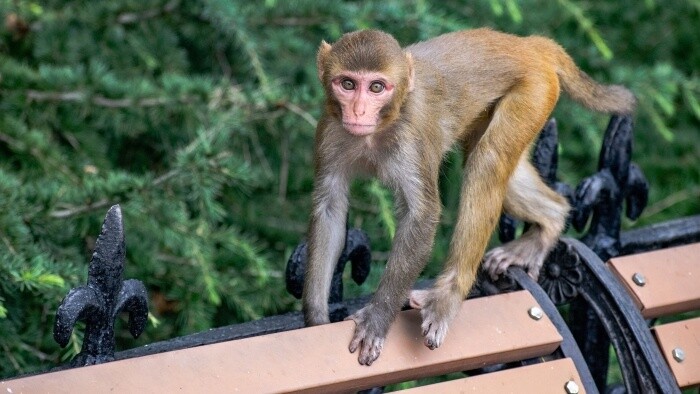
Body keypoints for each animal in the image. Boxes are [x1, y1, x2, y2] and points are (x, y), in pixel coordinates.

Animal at [300, 27, 636, 366]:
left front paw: (377, 320)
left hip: (534, 91)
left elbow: (421, 216)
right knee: (499, 167)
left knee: (487, 160)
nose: (358, 111)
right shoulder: (329, 130)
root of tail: (527, 44)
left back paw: (447, 297)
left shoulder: (411, 137)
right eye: (347, 84)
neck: (378, 130)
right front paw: (316, 320)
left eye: (377, 87)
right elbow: (329, 209)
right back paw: (551, 219)